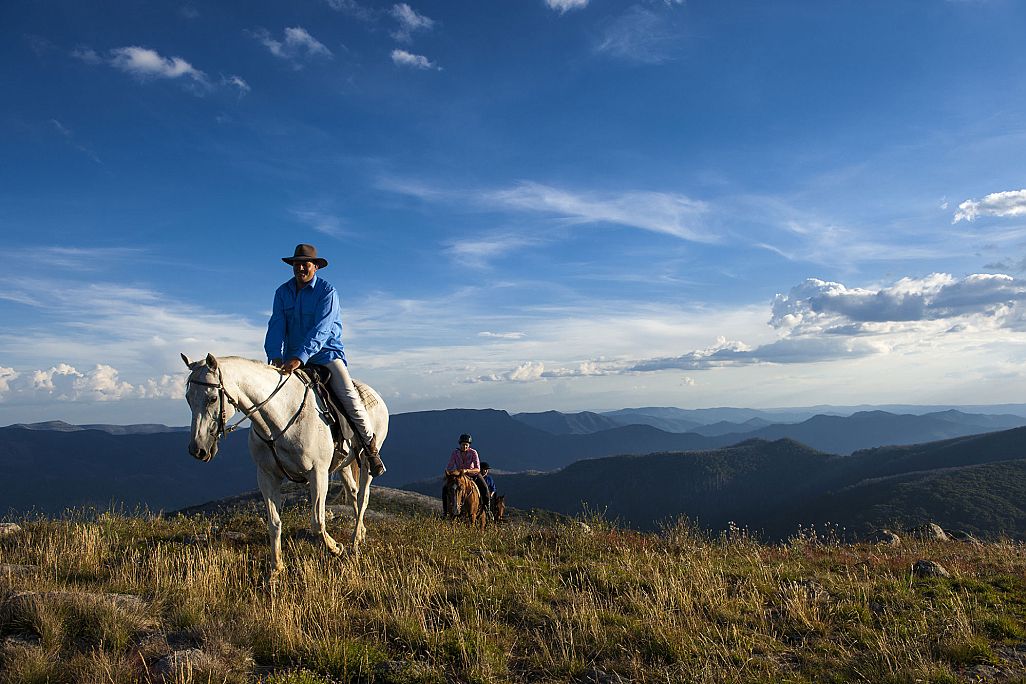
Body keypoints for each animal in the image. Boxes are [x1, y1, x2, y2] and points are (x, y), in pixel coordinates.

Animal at [180, 352, 387, 574]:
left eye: (212, 398)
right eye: (188, 399)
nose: (197, 449)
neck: (279, 416)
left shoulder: (317, 473)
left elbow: (317, 522)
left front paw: (335, 548)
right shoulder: (266, 476)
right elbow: (274, 522)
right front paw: (275, 568)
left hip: (366, 460)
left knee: (363, 497)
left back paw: (354, 543)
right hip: (344, 464)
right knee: (353, 493)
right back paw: (361, 533)